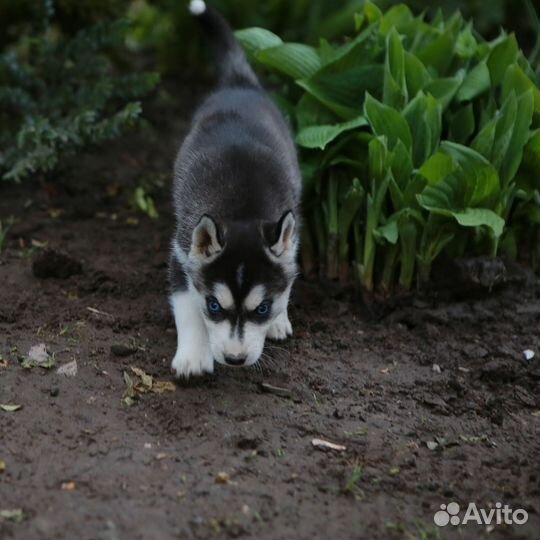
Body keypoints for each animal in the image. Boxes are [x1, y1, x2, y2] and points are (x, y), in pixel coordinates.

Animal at [169, 0, 302, 378]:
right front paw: (193, 357)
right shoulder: (181, 253)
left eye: (262, 308)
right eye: (214, 306)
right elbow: (188, 307)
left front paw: (278, 319)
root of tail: (240, 83)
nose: (235, 359)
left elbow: (288, 277)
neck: (243, 211)